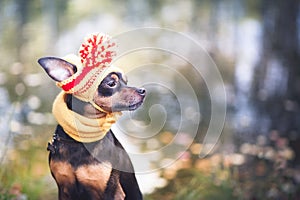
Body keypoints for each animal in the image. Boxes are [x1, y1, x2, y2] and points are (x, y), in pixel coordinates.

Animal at [37, 33, 145, 199]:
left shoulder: (111, 191)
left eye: (126, 82)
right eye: (111, 83)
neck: (81, 140)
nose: (143, 91)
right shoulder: (64, 189)